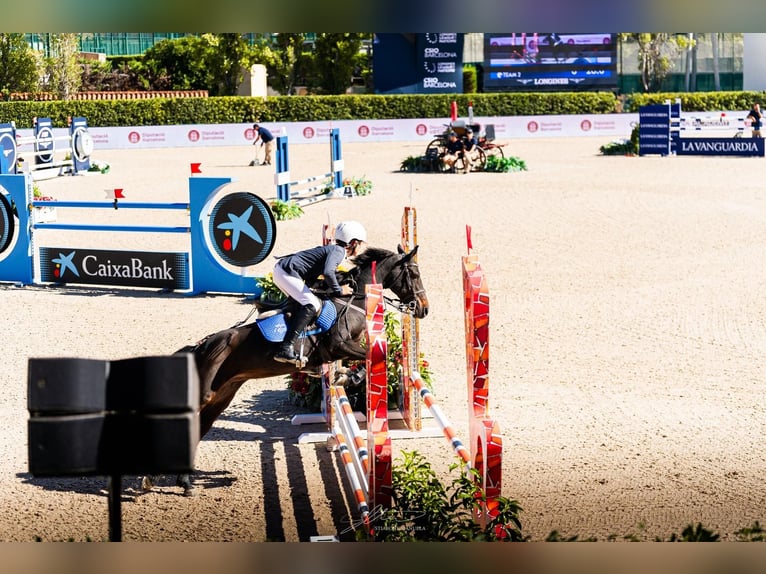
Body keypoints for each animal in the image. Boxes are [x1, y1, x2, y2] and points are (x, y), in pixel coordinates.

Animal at [143, 246, 428, 496]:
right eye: (413, 274)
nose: (424, 309)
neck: (352, 302)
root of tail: (200, 347)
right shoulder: (339, 345)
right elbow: (374, 355)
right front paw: (349, 377)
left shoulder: (344, 349)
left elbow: (370, 358)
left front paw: (345, 376)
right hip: (203, 393)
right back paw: (153, 477)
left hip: (220, 397)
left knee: (198, 429)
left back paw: (184, 483)